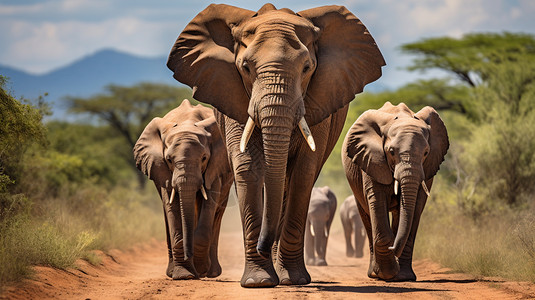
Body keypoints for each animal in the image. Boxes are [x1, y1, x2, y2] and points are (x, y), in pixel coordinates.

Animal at [132, 99, 232, 280]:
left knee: (218, 212)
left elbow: (209, 204)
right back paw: (174, 272)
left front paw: (200, 270)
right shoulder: (162, 170)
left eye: (204, 158)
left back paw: (211, 272)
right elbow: (172, 208)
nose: (200, 271)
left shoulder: (215, 166)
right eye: (169, 160)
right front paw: (184, 275)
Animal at [168, 2, 386, 288]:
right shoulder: (233, 96)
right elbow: (248, 168)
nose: (262, 246)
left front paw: (294, 280)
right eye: (245, 68)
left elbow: (303, 173)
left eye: (307, 68)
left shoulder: (319, 102)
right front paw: (258, 281)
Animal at [344, 101, 448, 282]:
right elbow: (377, 202)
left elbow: (414, 209)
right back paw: (374, 274)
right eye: (391, 152)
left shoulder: (427, 169)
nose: (393, 249)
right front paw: (387, 273)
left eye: (426, 153)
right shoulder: (373, 160)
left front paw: (403, 276)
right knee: (367, 217)